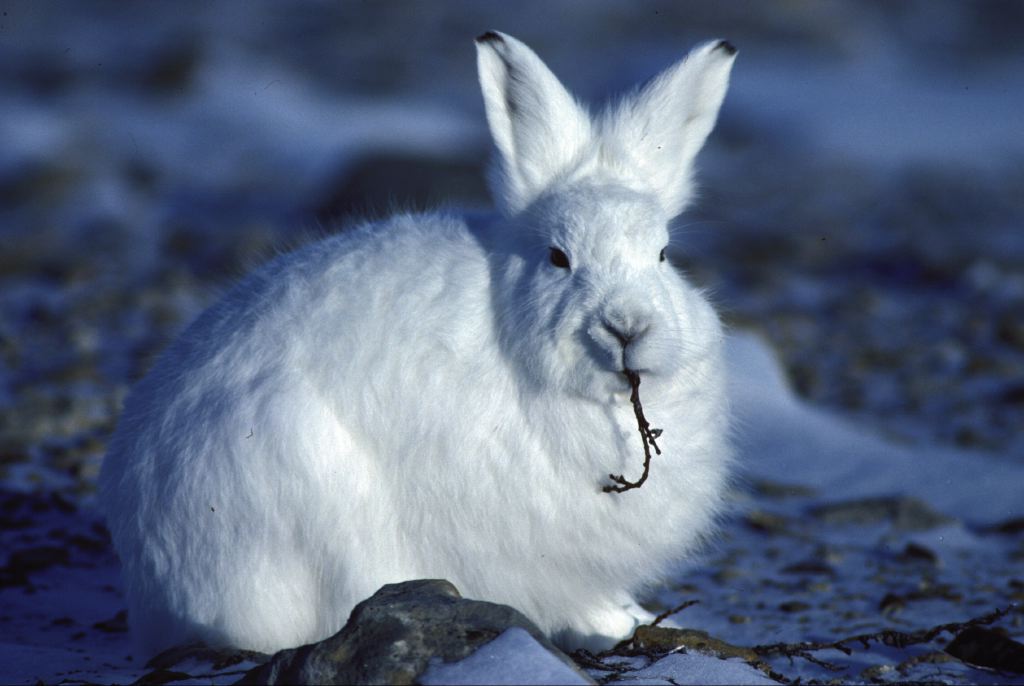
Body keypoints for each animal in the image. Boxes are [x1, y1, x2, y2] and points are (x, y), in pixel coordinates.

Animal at [98, 30, 737, 657]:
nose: (628, 327)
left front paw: (636, 616)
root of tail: (148, 574)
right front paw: (610, 628)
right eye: (559, 258)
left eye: (663, 254)